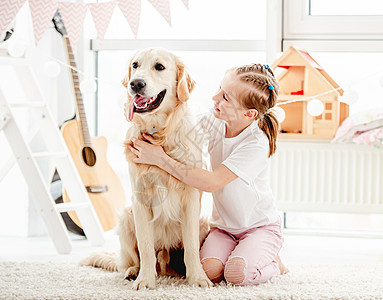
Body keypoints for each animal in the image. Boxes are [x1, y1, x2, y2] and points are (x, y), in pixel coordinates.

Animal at [80, 48, 212, 290]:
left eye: (159, 67)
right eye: (135, 65)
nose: (136, 83)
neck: (159, 132)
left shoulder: (191, 197)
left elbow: (190, 248)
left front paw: (198, 278)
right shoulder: (139, 199)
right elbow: (145, 247)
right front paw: (145, 280)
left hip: (203, 223)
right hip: (126, 217)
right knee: (136, 258)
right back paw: (134, 271)